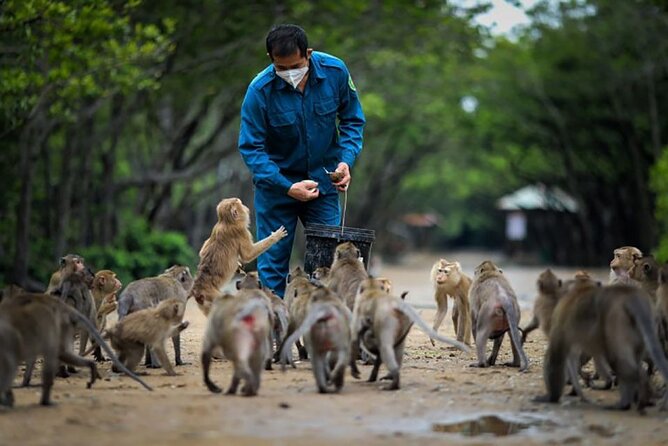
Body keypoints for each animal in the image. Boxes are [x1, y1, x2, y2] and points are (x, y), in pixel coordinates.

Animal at [535, 276, 668, 412]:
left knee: (617, 360)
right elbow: (572, 358)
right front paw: (579, 391)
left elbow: (557, 354)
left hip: (616, 322)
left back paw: (630, 398)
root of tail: (632, 296)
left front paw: (552, 397)